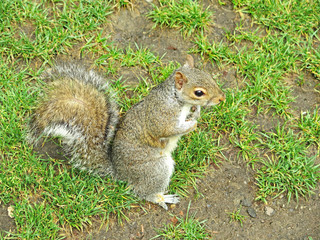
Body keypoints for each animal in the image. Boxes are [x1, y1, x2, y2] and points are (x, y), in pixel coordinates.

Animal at [28, 55, 228, 209]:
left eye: (210, 77)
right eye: (199, 92)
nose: (221, 98)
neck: (175, 98)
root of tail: (119, 173)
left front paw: (196, 112)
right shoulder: (161, 116)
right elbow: (167, 129)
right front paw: (192, 124)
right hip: (155, 169)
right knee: (142, 192)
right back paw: (160, 198)